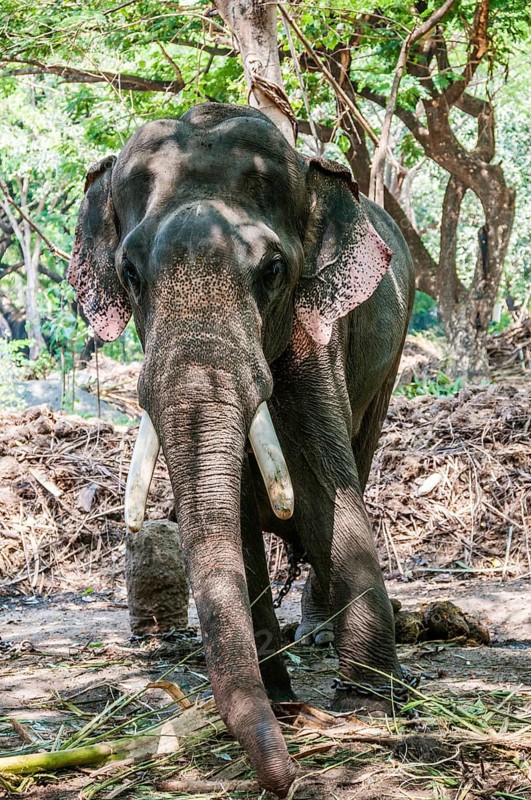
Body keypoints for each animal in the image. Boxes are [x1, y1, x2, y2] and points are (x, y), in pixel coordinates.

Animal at [68, 102, 415, 797]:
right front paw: (284, 704)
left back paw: (318, 631)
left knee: (361, 455)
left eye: (272, 271)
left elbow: (324, 495)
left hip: (389, 355)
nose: (289, 781)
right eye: (130, 274)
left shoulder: (315, 341)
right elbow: (232, 520)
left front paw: (369, 707)